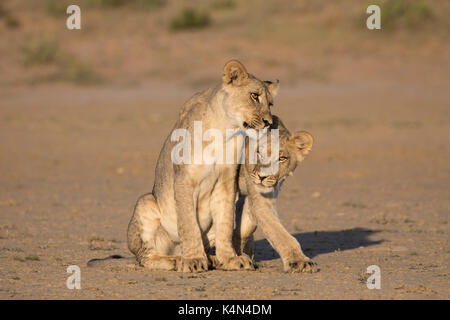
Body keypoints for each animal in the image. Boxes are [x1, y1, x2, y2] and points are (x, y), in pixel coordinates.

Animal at [126, 58, 278, 272]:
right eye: (254, 96)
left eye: (271, 103)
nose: (268, 122)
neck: (225, 130)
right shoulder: (184, 179)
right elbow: (188, 223)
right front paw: (193, 260)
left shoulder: (226, 182)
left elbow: (225, 222)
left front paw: (230, 259)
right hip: (146, 203)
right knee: (145, 257)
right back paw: (177, 260)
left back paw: (212, 259)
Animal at [232, 116, 316, 274]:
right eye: (259, 153)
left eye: (282, 158)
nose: (262, 177)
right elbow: (277, 231)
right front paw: (299, 261)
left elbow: (246, 225)